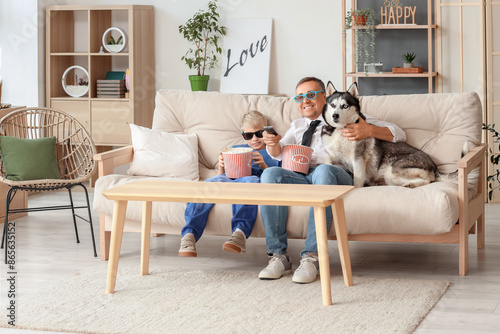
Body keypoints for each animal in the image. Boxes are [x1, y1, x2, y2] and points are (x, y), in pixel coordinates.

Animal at [322, 81, 458, 188]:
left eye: (345, 106)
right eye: (333, 105)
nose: (335, 115)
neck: (340, 130)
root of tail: (435, 167)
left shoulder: (358, 159)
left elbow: (357, 181)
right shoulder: (334, 156)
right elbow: (326, 160)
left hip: (391, 171)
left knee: (426, 181)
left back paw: (410, 185)